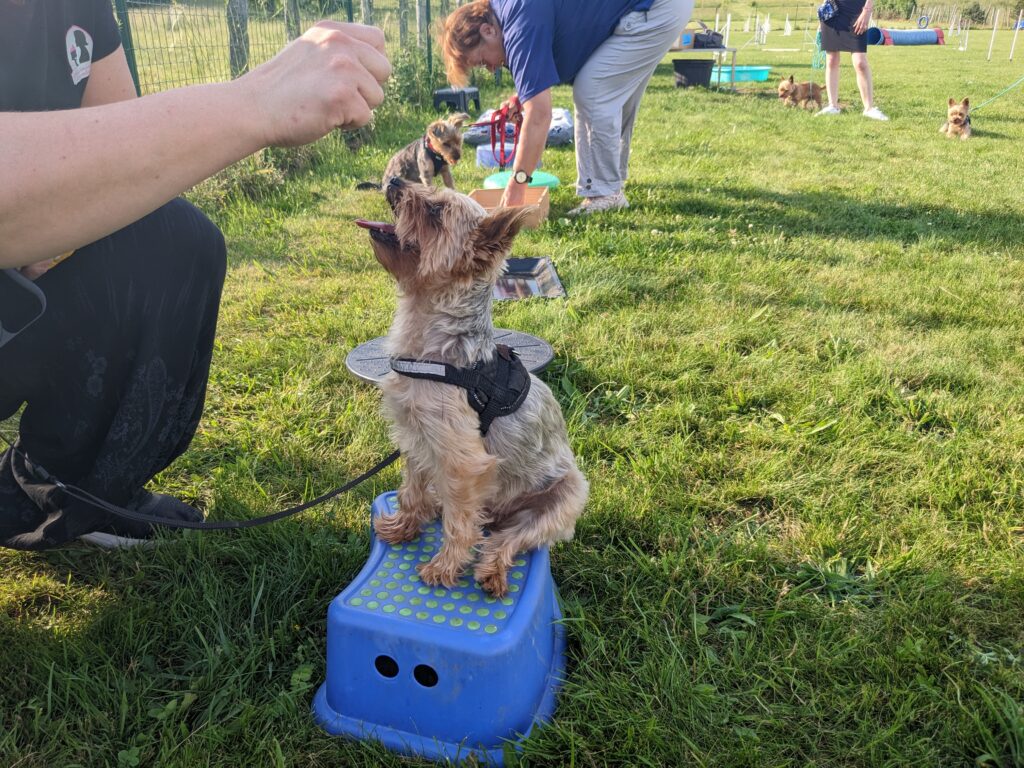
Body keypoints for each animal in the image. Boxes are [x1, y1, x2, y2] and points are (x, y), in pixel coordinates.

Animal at [356, 179, 589, 593]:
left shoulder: (464, 464)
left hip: (566, 497)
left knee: (508, 538)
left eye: (436, 212)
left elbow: (461, 525)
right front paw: (404, 527)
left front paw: (444, 567)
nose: (396, 181)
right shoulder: (416, 440)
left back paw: (492, 572)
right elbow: (411, 492)